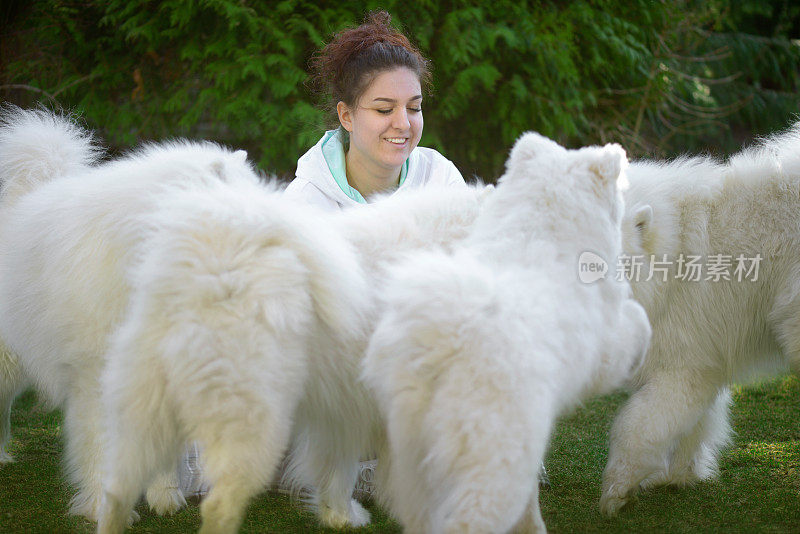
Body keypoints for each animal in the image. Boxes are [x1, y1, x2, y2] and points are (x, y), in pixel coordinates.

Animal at [600, 125, 800, 520]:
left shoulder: (683, 365)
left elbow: (635, 427)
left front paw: (615, 492)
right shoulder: (701, 360)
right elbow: (693, 426)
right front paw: (677, 476)